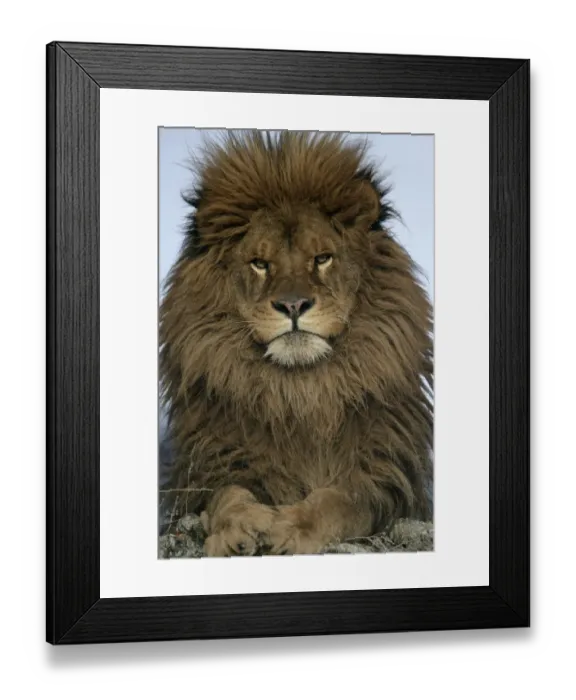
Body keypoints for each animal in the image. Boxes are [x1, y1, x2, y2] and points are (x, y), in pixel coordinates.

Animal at [159, 130, 433, 557]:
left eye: (322, 258)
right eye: (259, 263)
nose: (292, 305)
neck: (301, 391)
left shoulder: (386, 477)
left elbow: (339, 501)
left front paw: (290, 528)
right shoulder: (211, 466)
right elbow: (228, 495)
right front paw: (238, 529)